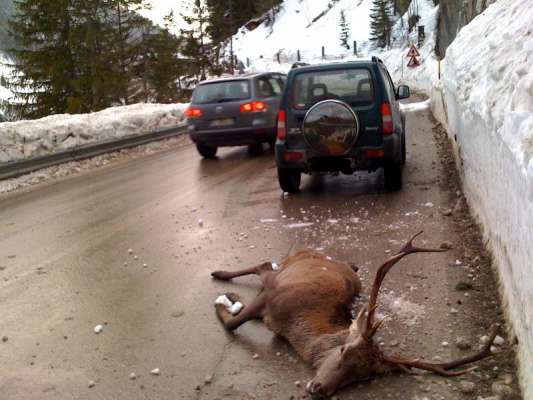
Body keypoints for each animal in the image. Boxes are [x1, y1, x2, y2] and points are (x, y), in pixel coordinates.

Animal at [210, 231, 496, 396]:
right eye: (343, 350)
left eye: (362, 376)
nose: (318, 389)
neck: (291, 322)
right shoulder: (272, 296)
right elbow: (232, 324)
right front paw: (222, 302)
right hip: (278, 274)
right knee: (263, 265)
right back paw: (220, 276)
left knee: (265, 265)